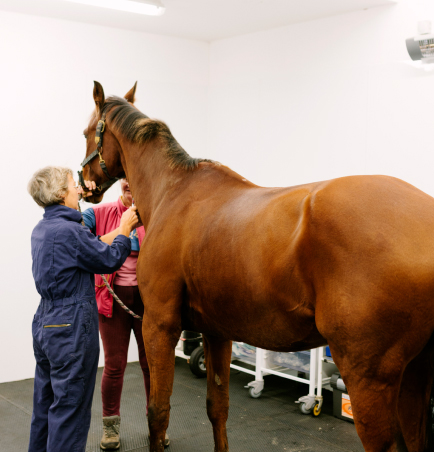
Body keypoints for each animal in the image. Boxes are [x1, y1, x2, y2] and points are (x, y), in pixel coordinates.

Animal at [81, 82, 434, 452]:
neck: (172, 191)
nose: (84, 182)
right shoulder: (217, 332)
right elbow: (217, 407)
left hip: (369, 377)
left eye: (87, 133)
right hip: (414, 372)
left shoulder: (159, 326)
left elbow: (157, 411)